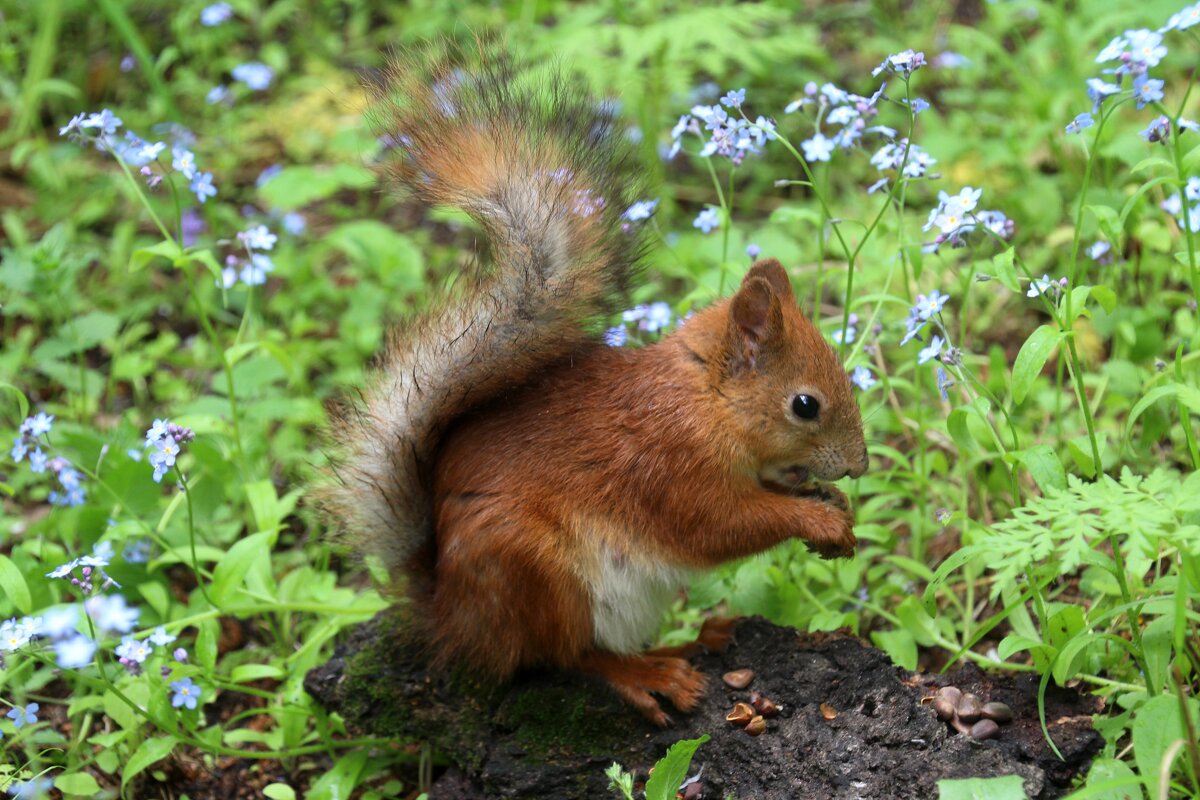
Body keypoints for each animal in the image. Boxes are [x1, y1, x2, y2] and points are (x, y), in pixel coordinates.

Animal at [319, 48, 864, 724]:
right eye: (805, 405)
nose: (861, 466)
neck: (705, 401)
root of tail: (451, 617)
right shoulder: (671, 466)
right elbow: (723, 525)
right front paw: (814, 519)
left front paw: (830, 504)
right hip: (536, 572)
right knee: (565, 655)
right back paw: (649, 674)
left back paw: (697, 639)